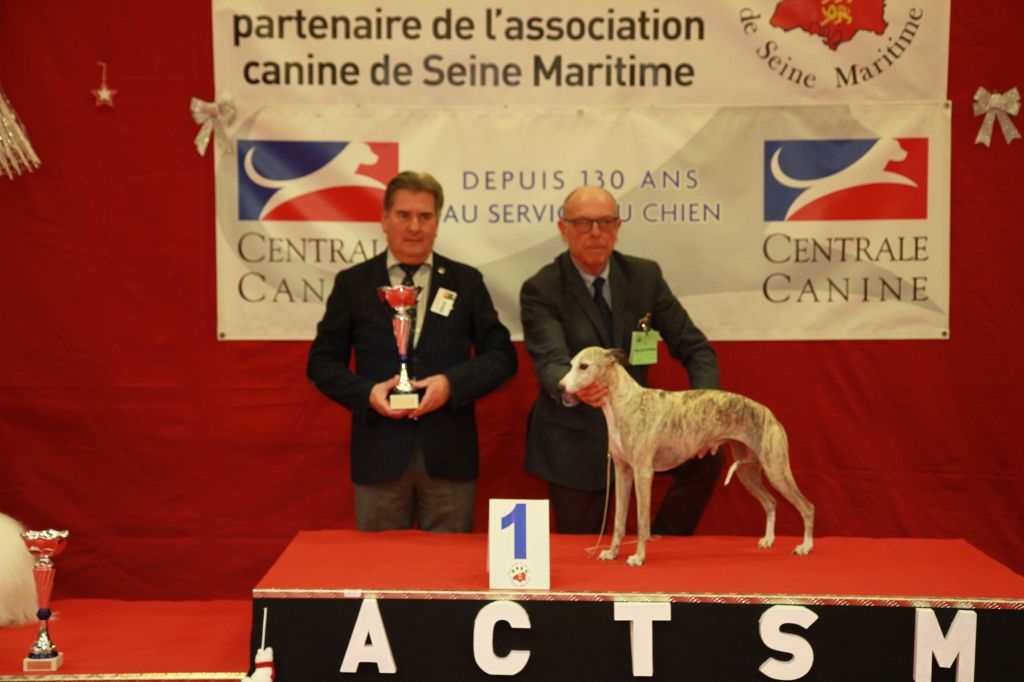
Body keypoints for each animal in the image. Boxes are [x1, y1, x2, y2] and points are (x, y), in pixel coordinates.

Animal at [557, 346, 811, 561]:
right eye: (571, 364)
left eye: (584, 366)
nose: (559, 388)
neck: (626, 403)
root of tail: (769, 413)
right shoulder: (622, 472)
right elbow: (619, 520)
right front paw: (611, 553)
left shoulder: (642, 473)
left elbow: (642, 522)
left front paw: (638, 557)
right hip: (747, 471)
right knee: (771, 502)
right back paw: (768, 540)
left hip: (776, 469)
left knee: (807, 507)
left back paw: (805, 546)